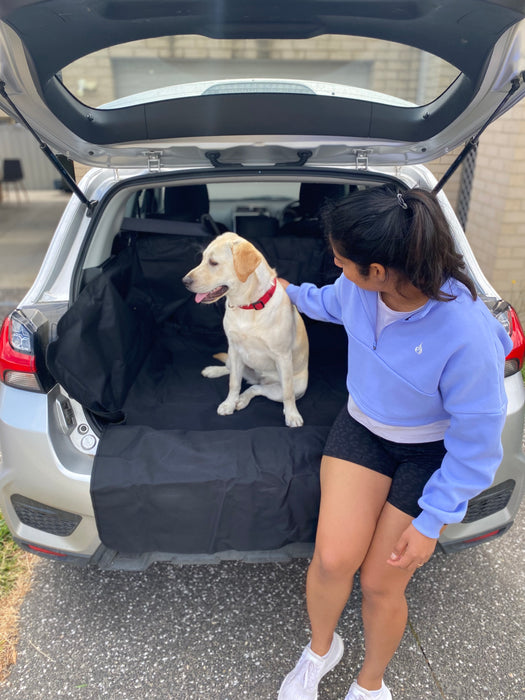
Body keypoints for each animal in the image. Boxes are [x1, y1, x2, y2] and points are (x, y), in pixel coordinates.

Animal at [183, 232, 308, 426]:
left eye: (213, 262)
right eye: (203, 259)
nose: (184, 281)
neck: (248, 306)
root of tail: (260, 378)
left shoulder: (283, 356)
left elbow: (288, 393)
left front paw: (292, 415)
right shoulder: (234, 349)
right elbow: (233, 382)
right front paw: (228, 403)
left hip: (294, 387)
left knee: (257, 388)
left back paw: (242, 399)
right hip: (236, 359)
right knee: (235, 373)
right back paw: (215, 373)